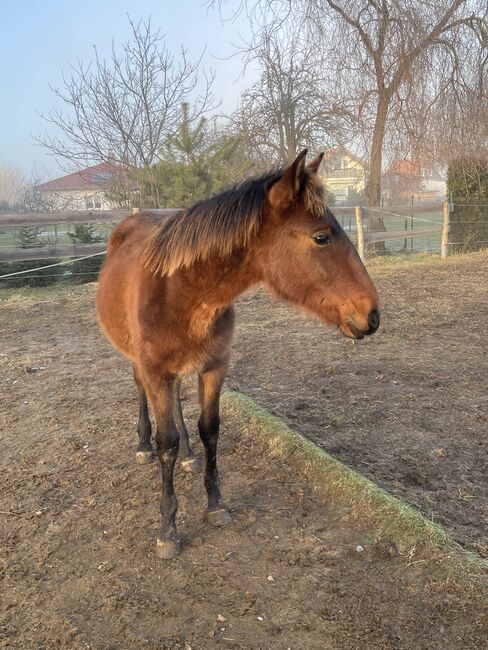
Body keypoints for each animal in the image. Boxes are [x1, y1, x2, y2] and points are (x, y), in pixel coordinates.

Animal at [94, 151, 378, 556]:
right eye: (321, 237)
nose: (372, 314)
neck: (182, 291)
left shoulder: (215, 366)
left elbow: (209, 430)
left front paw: (215, 504)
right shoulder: (154, 370)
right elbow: (167, 443)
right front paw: (167, 529)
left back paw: (189, 457)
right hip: (138, 362)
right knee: (141, 394)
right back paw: (143, 444)